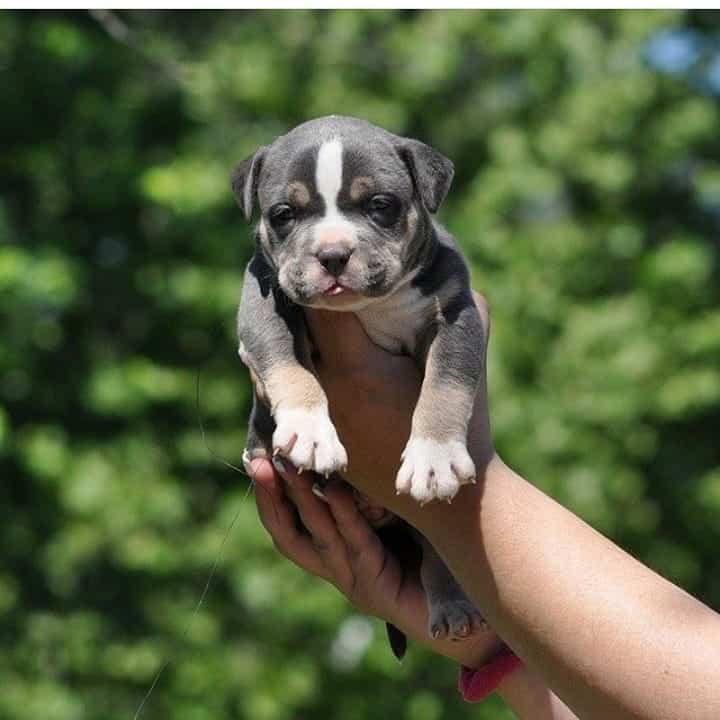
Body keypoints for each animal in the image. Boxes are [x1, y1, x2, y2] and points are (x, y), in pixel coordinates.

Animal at [233, 116, 486, 652]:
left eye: (380, 206)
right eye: (283, 214)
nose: (332, 254)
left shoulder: (457, 314)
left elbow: (446, 385)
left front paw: (434, 458)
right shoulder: (261, 298)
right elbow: (287, 365)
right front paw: (310, 433)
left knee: (438, 551)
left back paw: (454, 608)